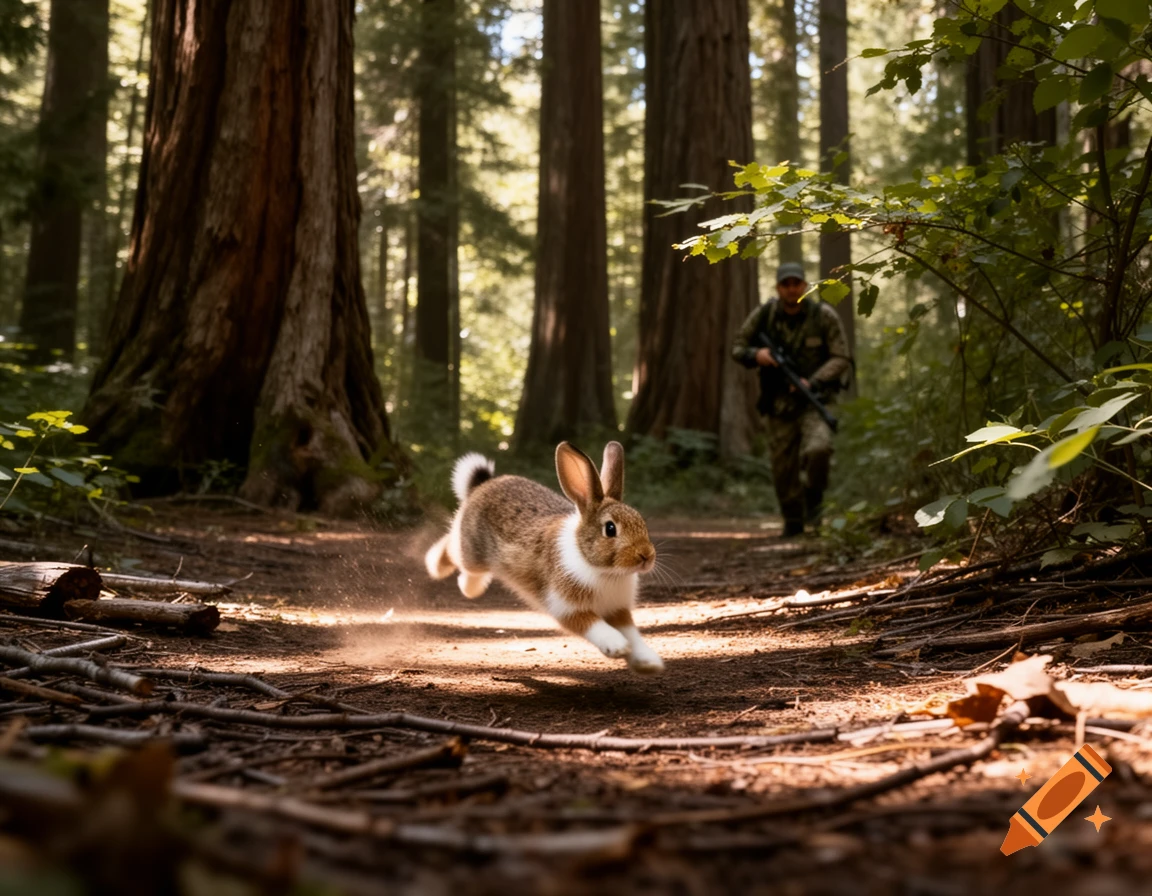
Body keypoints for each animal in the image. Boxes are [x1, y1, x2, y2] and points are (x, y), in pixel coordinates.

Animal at [424, 441, 664, 674]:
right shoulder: (567, 607)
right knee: (452, 549)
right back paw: (451, 576)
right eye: (610, 529)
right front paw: (617, 646)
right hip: (471, 552)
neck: (599, 568)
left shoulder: (618, 610)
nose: (646, 556)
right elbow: (594, 625)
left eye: (641, 522)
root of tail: (481, 486)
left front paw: (649, 663)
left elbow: (632, 633)